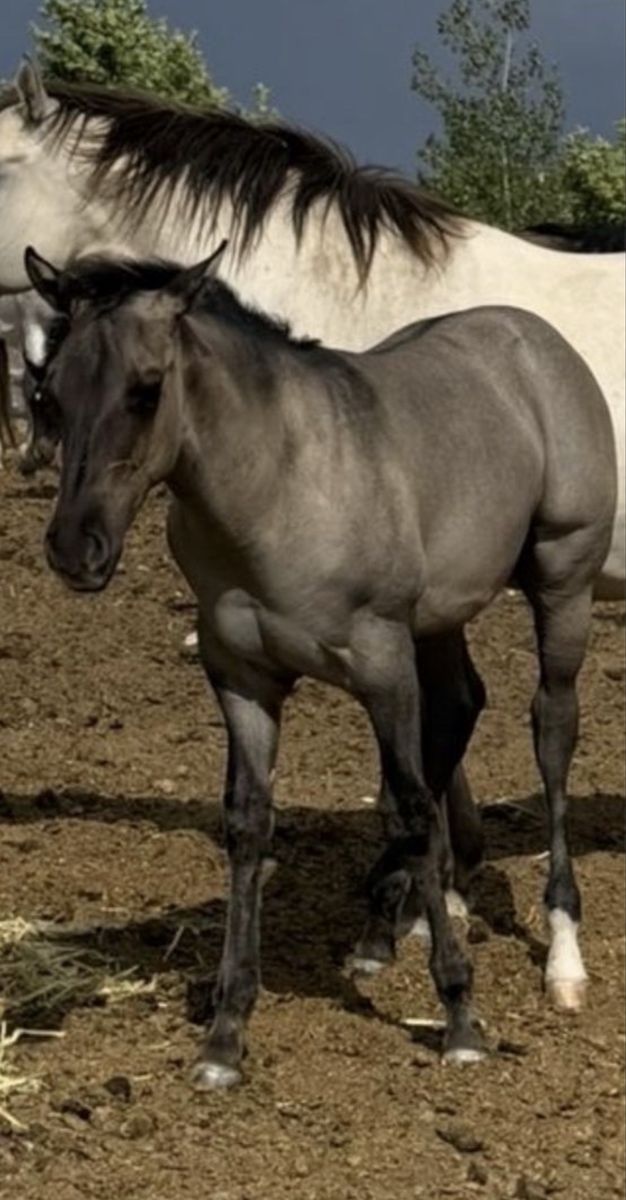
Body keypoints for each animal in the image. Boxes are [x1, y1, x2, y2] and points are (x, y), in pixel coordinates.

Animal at [23, 241, 616, 1087]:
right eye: (50, 394)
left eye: (146, 391)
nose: (76, 550)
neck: (277, 487)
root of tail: (534, 339)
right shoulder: (242, 678)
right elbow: (250, 823)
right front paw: (226, 1035)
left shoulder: (381, 661)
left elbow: (411, 805)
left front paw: (461, 1018)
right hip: (439, 619)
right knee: (461, 706)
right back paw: (394, 919)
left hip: (562, 584)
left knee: (552, 732)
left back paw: (561, 954)